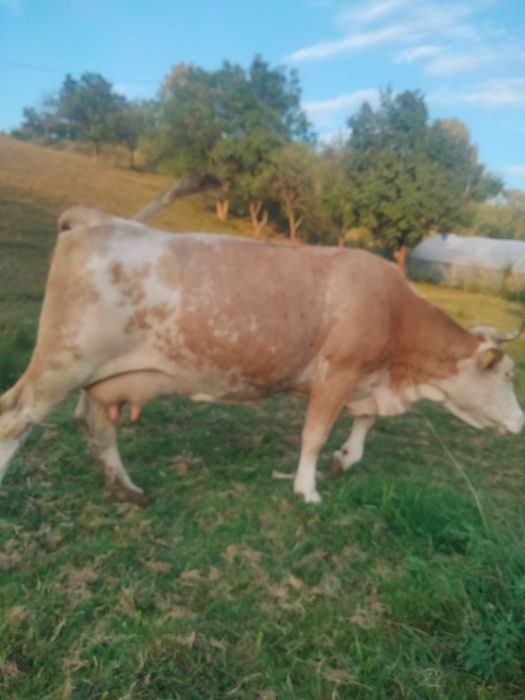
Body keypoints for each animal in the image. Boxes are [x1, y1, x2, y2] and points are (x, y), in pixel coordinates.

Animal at [0, 207, 523, 505]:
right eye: (507, 374)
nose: (520, 421)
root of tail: (96, 219)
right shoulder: (339, 372)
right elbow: (314, 435)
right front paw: (307, 489)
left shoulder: (366, 378)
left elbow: (365, 422)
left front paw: (345, 459)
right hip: (62, 358)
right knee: (15, 418)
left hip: (100, 374)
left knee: (94, 424)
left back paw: (126, 490)